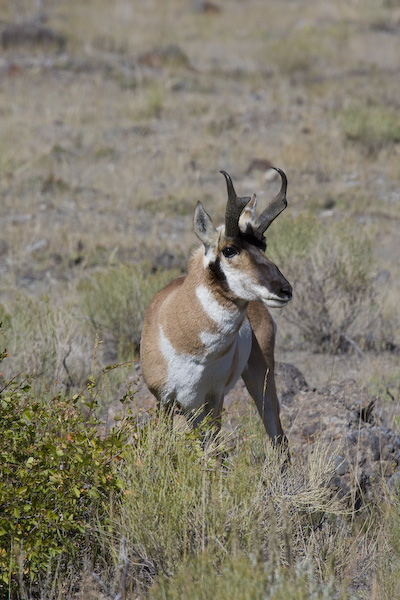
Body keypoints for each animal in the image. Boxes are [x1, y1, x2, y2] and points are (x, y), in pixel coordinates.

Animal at [140, 168, 290, 446]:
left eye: (263, 245)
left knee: (278, 437)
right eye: (229, 249)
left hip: (261, 380)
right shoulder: (164, 400)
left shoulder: (214, 399)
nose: (284, 290)